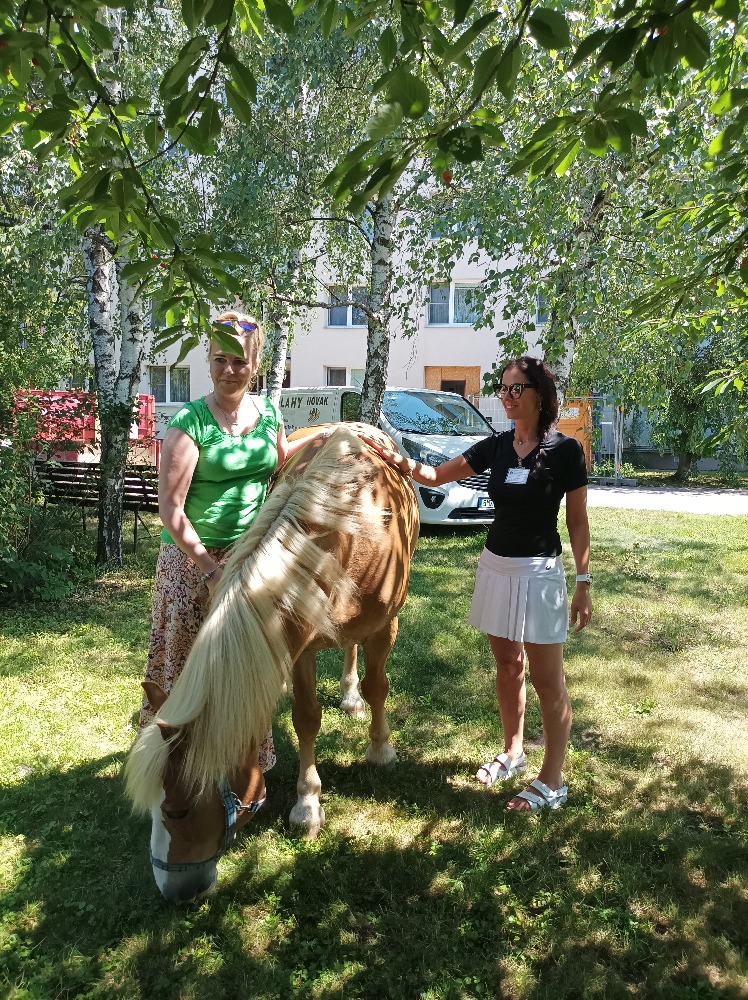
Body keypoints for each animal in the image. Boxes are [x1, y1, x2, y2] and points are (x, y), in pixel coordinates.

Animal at [123, 424, 419, 903]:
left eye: (179, 810)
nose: (173, 890)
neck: (340, 530)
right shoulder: (297, 647)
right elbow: (306, 718)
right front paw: (308, 803)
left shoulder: (385, 625)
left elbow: (379, 688)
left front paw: (380, 750)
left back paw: (353, 698)